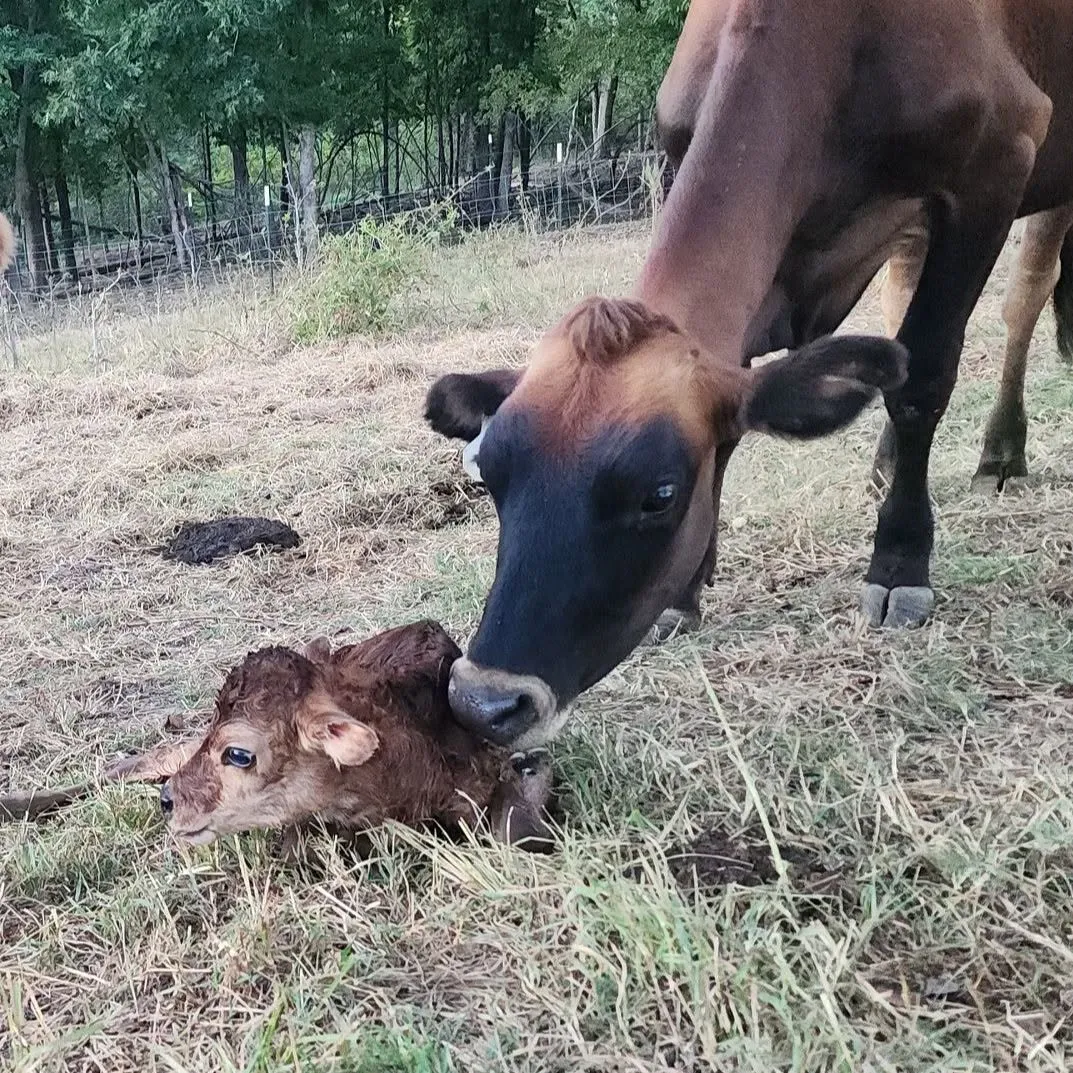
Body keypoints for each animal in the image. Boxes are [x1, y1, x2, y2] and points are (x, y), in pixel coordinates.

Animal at [423, 0, 1073, 750]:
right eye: (489, 474)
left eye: (659, 494)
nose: (485, 701)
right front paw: (687, 591)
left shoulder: (999, 162)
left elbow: (923, 375)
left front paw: (899, 559)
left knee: (1026, 294)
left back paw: (1001, 453)